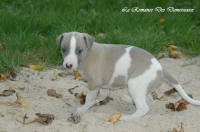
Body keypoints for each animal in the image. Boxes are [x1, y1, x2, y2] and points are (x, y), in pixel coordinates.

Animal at [55, 31, 200, 120]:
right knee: (145, 98)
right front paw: (97, 101)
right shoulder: (103, 84)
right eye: (63, 50)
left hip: (135, 84)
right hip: (142, 86)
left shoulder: (94, 83)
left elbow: (90, 99)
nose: (68, 65)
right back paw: (127, 99)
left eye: (79, 51)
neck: (88, 53)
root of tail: (161, 69)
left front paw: (82, 109)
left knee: (144, 108)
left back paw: (127, 117)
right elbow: (103, 95)